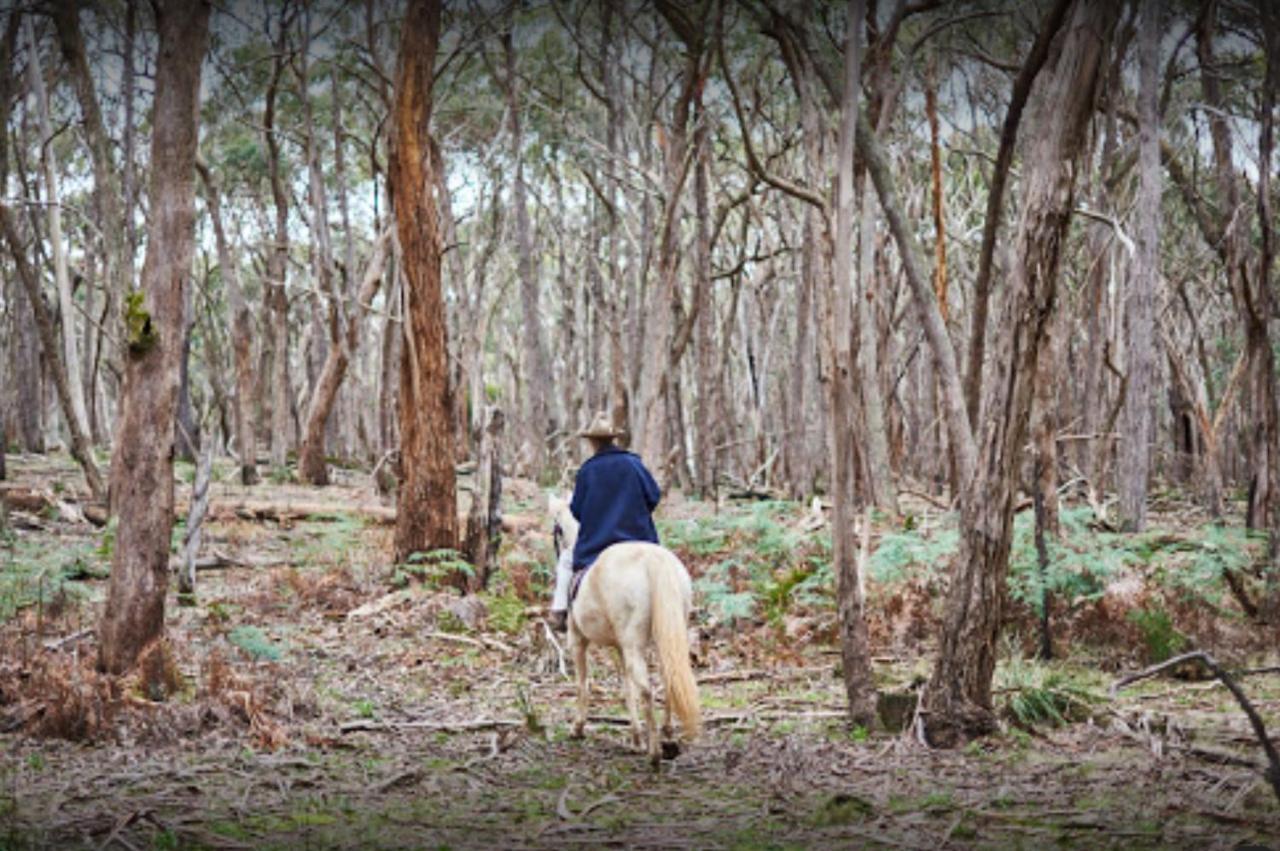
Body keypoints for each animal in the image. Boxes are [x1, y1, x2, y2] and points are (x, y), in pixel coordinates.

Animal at [542, 491, 701, 762]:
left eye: (557, 529)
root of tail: (651, 558)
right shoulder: (618, 646)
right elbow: (627, 688)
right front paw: (636, 738)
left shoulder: (578, 641)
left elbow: (583, 684)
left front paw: (578, 728)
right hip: (664, 637)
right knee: (668, 679)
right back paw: (668, 739)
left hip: (632, 644)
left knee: (646, 689)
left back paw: (654, 754)